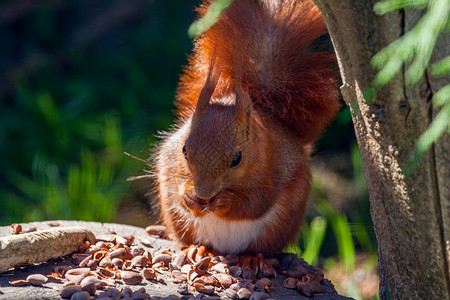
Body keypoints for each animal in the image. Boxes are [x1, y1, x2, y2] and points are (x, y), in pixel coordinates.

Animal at [153, 0, 340, 255]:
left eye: (237, 159)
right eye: (184, 151)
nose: (204, 194)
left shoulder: (272, 168)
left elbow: (255, 203)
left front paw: (226, 201)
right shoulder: (171, 162)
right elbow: (178, 187)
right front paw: (190, 197)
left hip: (278, 227)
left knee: (261, 247)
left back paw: (252, 258)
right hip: (176, 218)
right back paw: (198, 249)